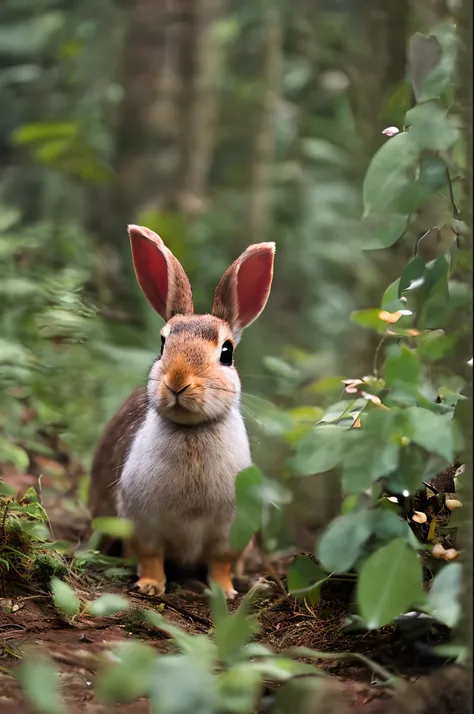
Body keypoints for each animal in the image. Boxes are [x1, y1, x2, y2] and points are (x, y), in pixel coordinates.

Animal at [88, 222, 274, 596]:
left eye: (227, 352)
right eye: (163, 344)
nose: (177, 381)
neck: (192, 431)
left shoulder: (230, 531)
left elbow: (220, 563)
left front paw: (224, 591)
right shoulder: (142, 522)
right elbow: (151, 556)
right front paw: (150, 587)